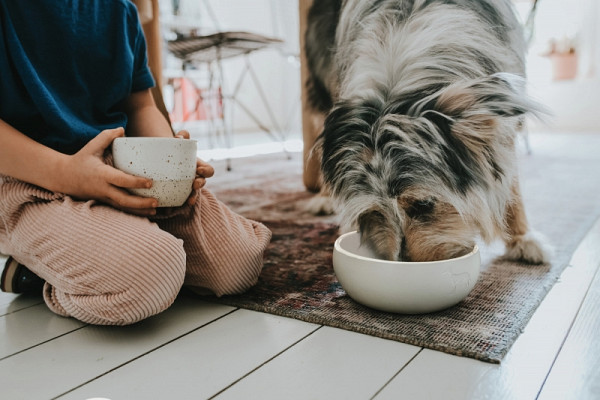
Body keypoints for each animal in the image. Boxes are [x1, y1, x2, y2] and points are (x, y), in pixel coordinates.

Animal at [302, 0, 552, 262]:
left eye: (424, 204)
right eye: (377, 211)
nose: (404, 263)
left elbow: (510, 183)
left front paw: (523, 238)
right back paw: (324, 197)